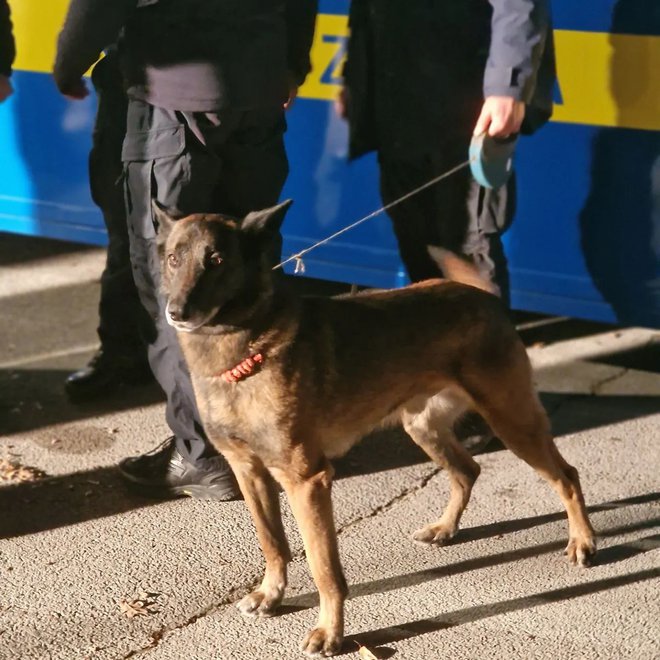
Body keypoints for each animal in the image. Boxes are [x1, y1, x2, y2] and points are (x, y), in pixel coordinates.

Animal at [152, 200, 596, 656]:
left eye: (217, 260)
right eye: (174, 259)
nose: (177, 312)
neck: (246, 346)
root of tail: (484, 297)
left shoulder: (307, 481)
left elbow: (323, 567)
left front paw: (330, 631)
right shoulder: (250, 472)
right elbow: (272, 542)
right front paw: (271, 594)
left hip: (513, 422)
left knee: (566, 476)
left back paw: (583, 541)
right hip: (423, 427)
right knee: (467, 470)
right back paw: (446, 528)